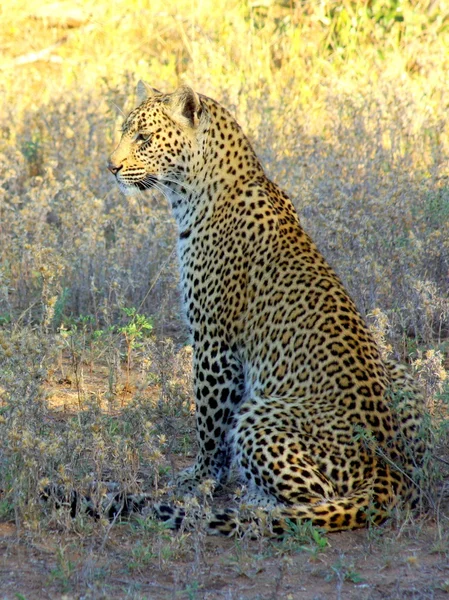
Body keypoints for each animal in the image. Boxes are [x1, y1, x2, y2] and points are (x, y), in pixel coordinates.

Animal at [107, 83, 428, 536]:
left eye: (144, 138)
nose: (110, 167)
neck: (194, 193)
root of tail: (389, 471)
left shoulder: (214, 343)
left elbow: (209, 426)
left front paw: (199, 479)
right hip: (396, 370)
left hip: (260, 413)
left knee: (314, 500)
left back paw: (252, 504)